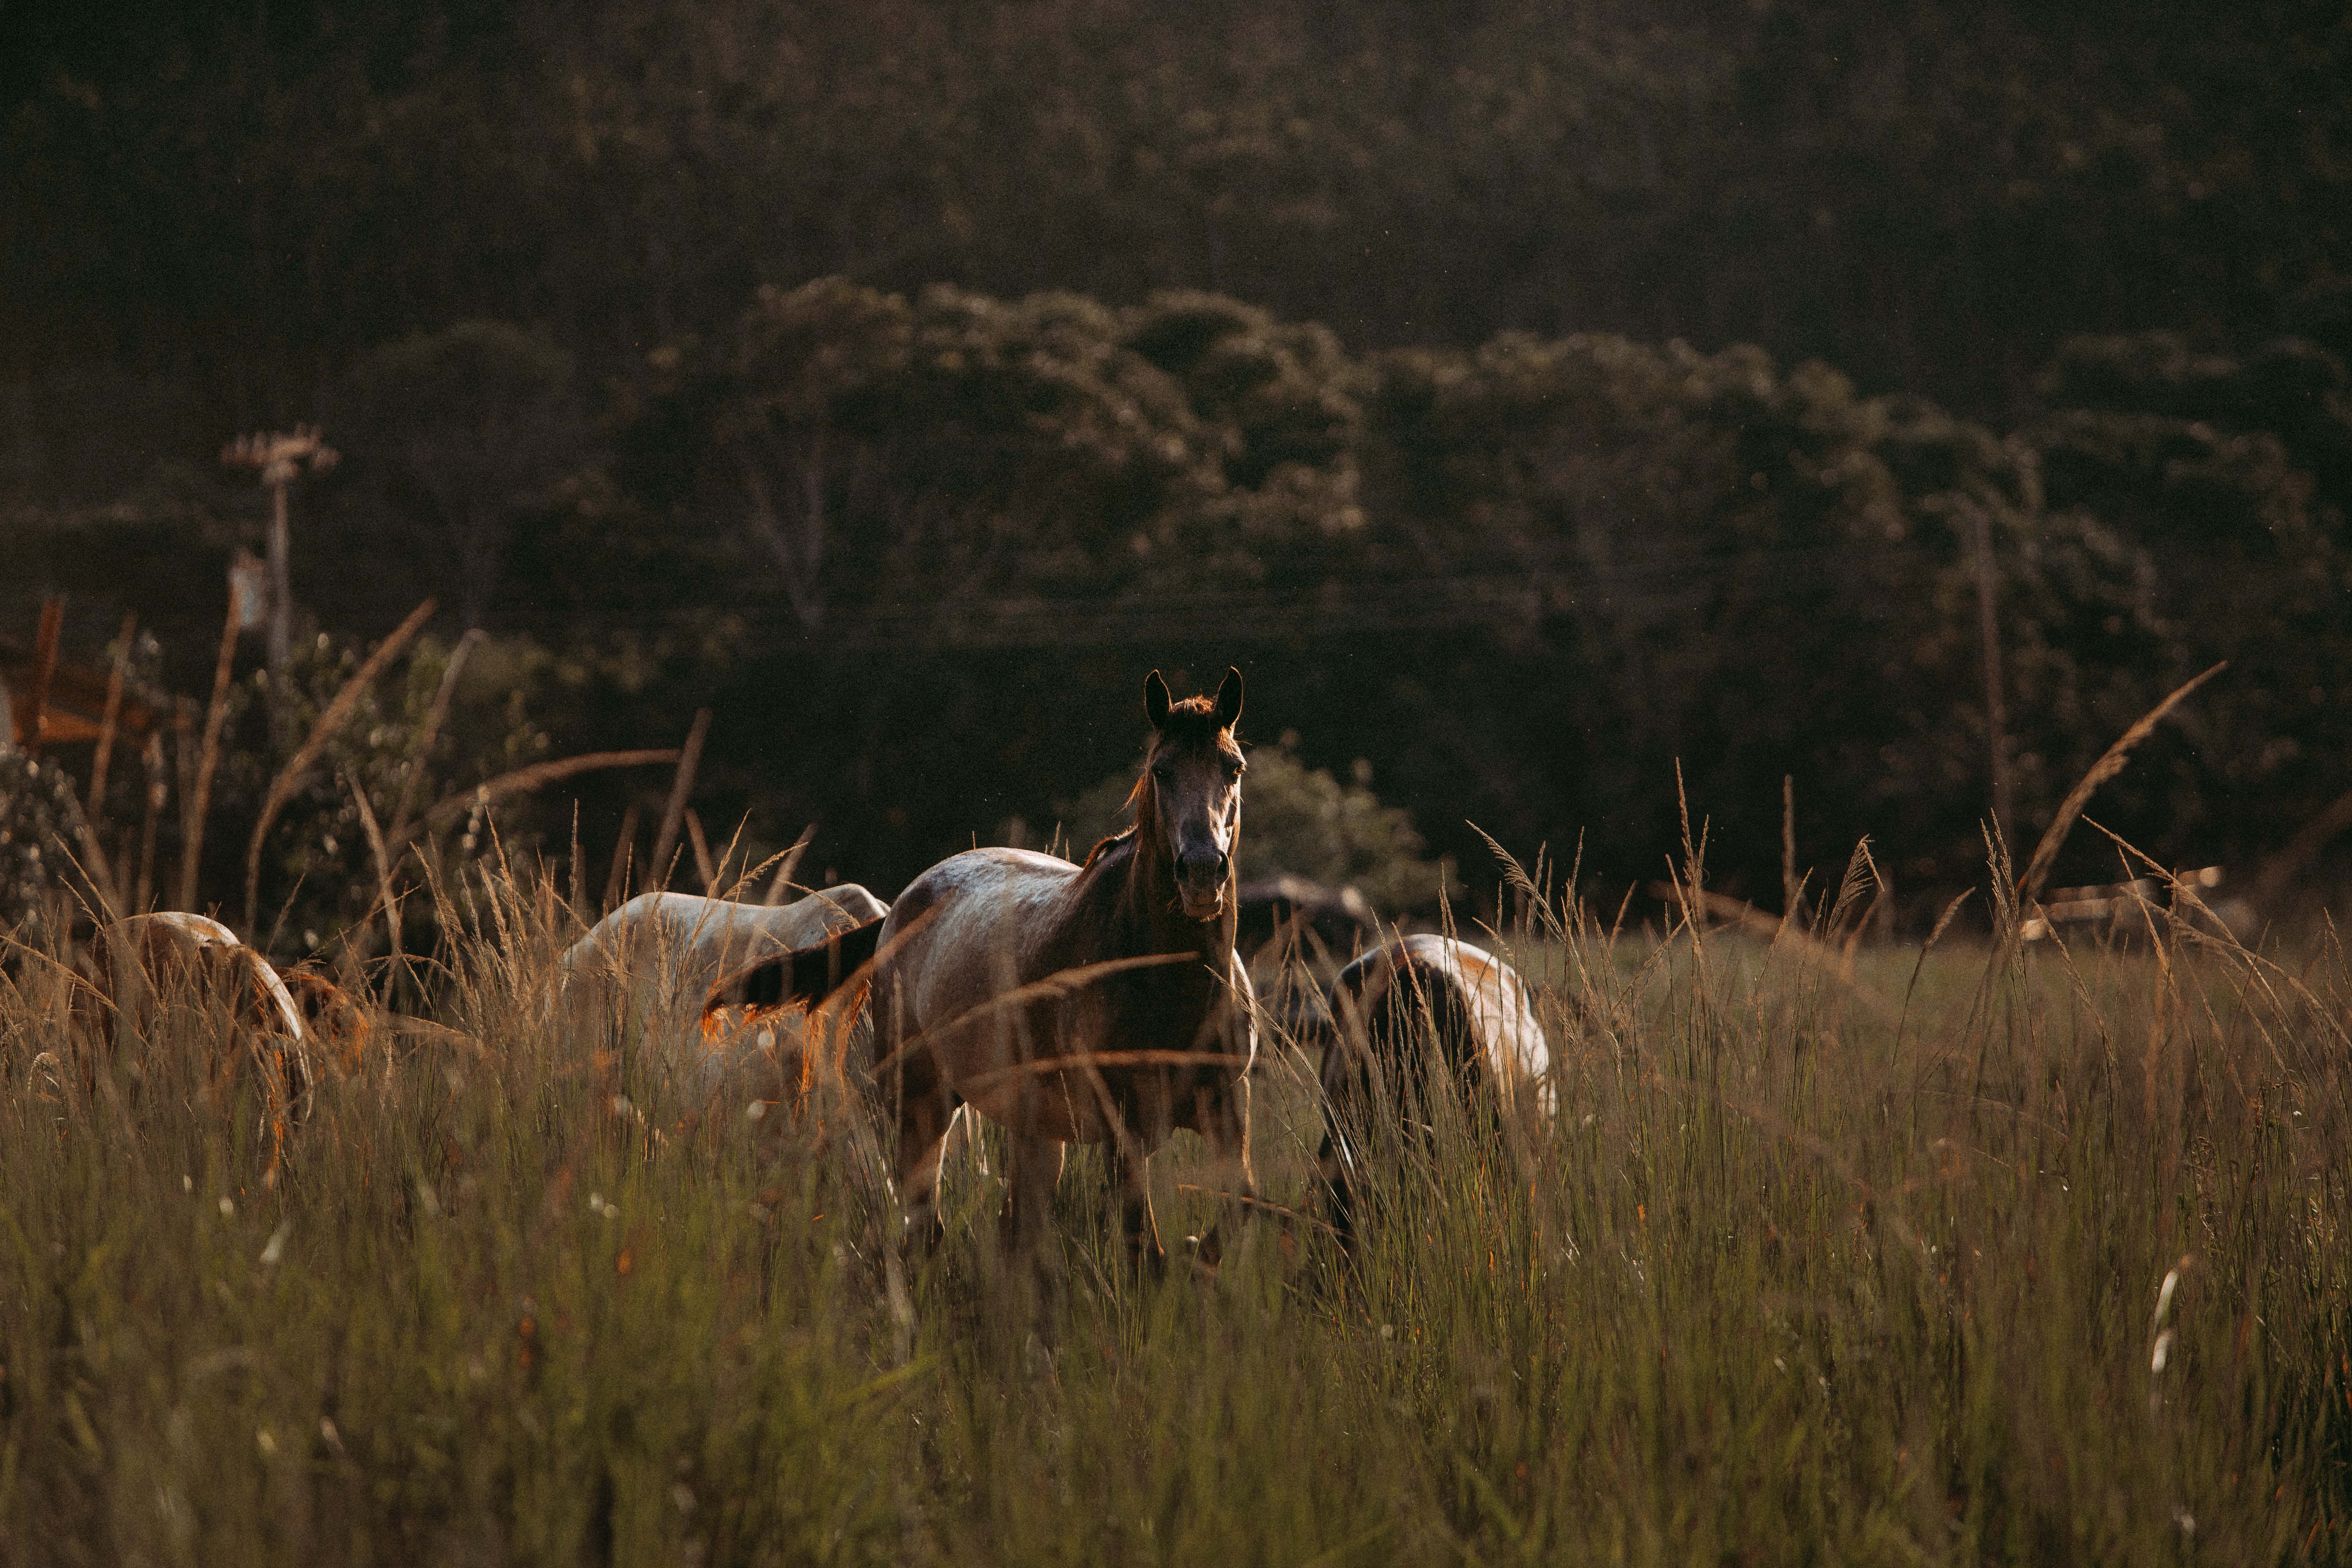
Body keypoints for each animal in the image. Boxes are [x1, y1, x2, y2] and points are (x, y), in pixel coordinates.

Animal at [713, 667, 1258, 1273]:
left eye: (1233, 767)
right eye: (1161, 771)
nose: (1203, 873)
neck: (1162, 979)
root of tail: (897, 909)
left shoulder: (1227, 1108)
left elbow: (1236, 1211)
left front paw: (1198, 1255)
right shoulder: (1124, 1126)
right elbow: (1146, 1250)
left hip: (1034, 1130)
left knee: (1013, 1234)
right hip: (922, 1105)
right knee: (925, 1228)